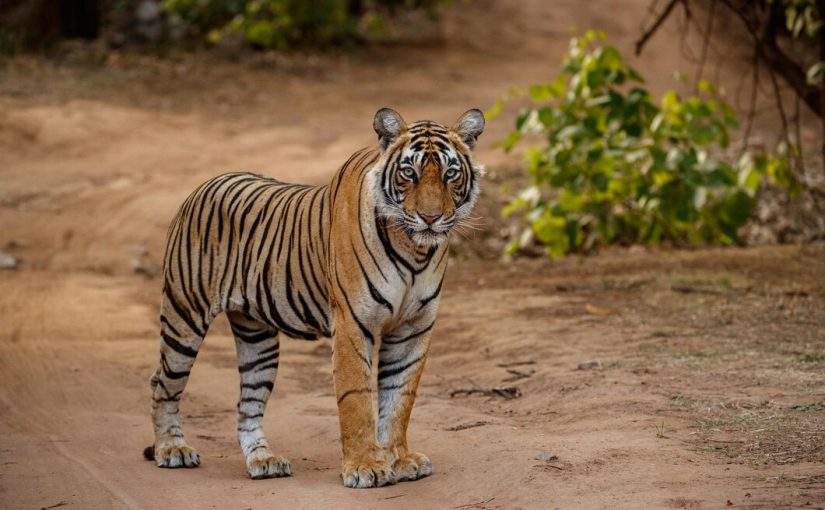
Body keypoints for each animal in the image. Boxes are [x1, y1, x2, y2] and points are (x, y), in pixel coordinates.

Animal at [146, 106, 486, 486]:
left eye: (450, 173)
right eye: (408, 173)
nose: (430, 218)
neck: (415, 251)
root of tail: (203, 185)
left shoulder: (414, 328)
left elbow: (400, 397)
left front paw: (399, 459)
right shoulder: (354, 323)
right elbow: (357, 397)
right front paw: (365, 466)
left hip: (258, 340)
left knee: (247, 405)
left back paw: (263, 460)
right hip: (184, 317)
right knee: (162, 384)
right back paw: (172, 449)